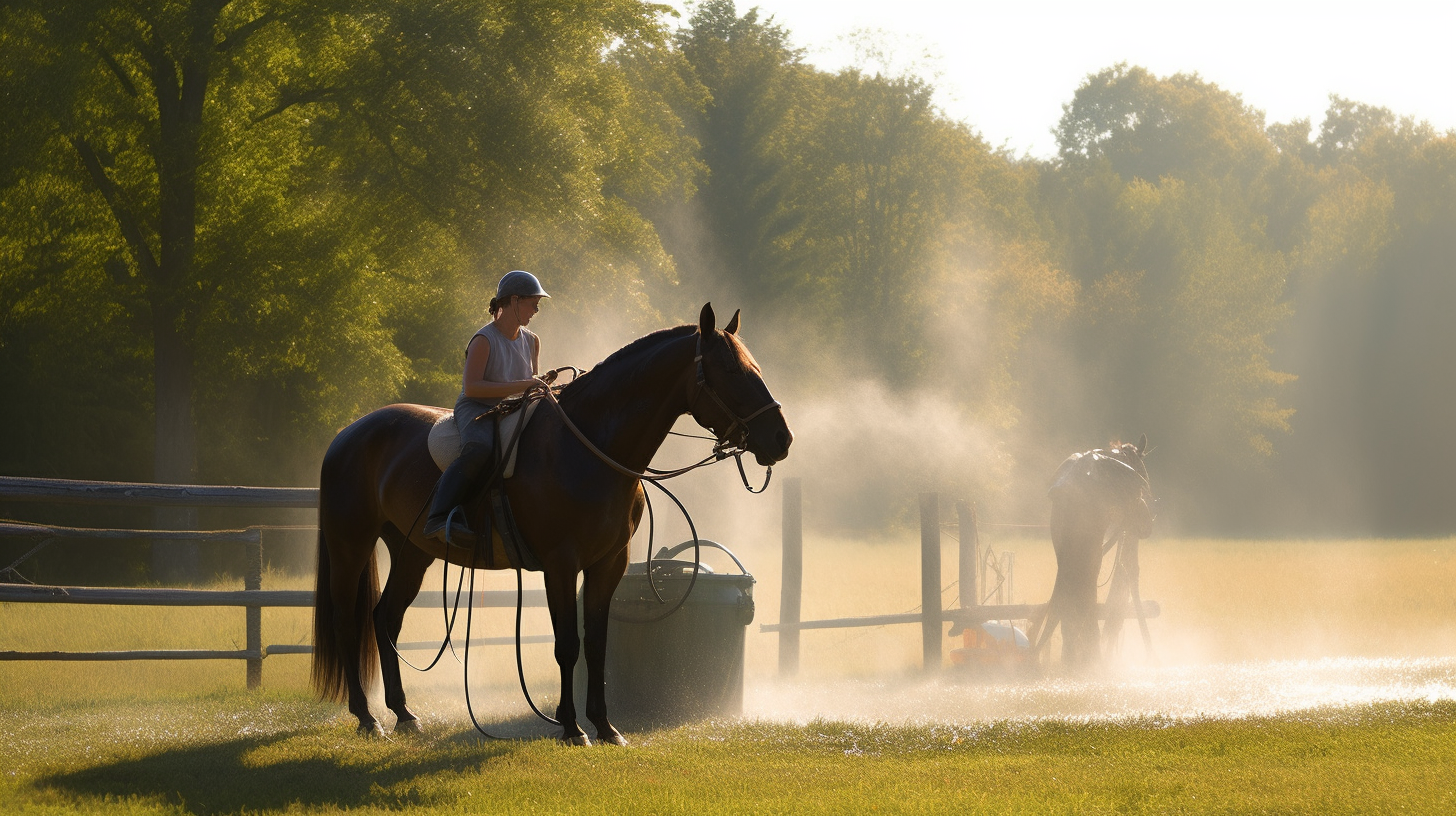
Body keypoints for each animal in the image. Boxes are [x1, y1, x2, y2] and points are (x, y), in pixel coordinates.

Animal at [305, 303, 786, 743]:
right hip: (351, 545)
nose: (782, 439)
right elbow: (567, 645)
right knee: (349, 620)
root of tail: (346, 435)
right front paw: (572, 727)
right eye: (731, 370)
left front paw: (605, 726)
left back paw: (404, 714)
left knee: (385, 618)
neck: (590, 448)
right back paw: (366, 717)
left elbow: (596, 643)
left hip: (412, 555)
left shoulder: (608, 563)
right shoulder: (560, 564)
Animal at [1042, 437, 1153, 667]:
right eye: (1142, 468)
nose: (1147, 522)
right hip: (1088, 550)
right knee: (1085, 590)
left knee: (1070, 591)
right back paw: (1090, 657)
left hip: (1067, 550)